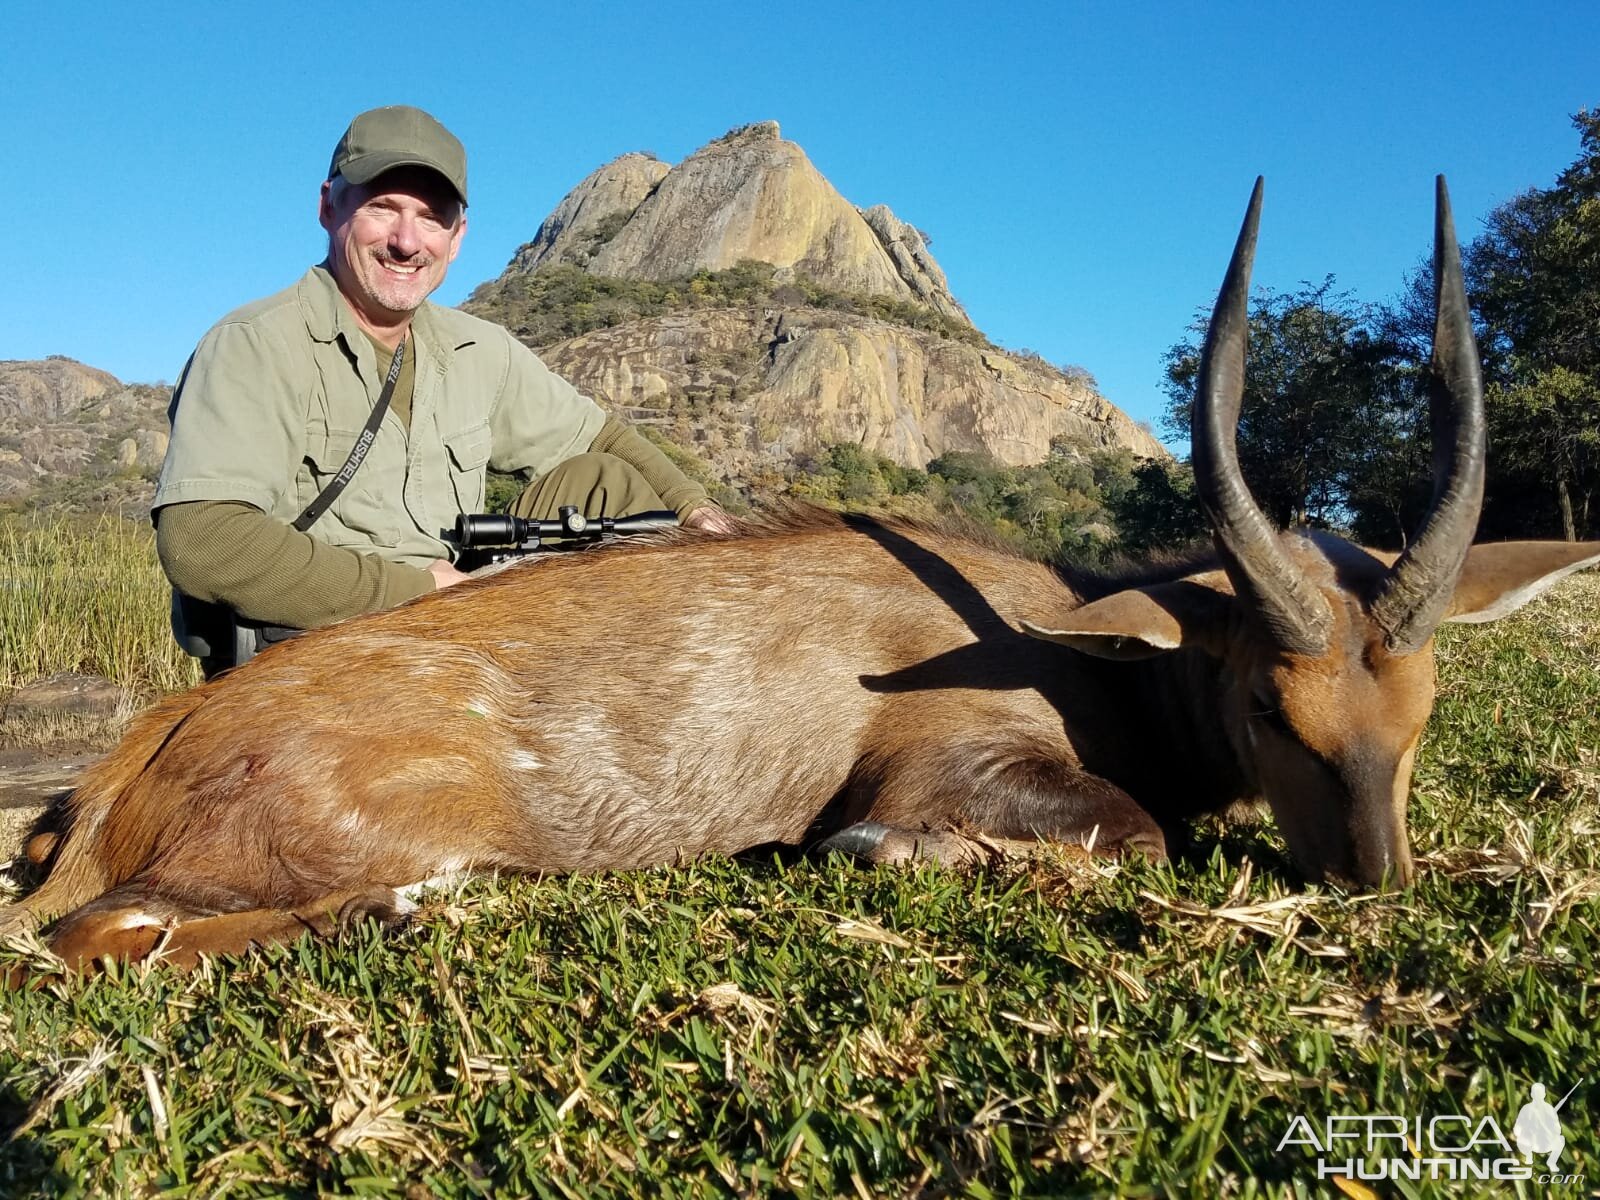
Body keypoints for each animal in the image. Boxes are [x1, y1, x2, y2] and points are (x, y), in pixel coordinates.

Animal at [3, 185, 1600, 979]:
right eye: (1273, 705)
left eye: (1421, 714)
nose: (1376, 886)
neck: (1071, 637)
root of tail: (134, 758)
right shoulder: (944, 769)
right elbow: (1120, 835)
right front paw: (891, 859)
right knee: (93, 936)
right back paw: (401, 910)